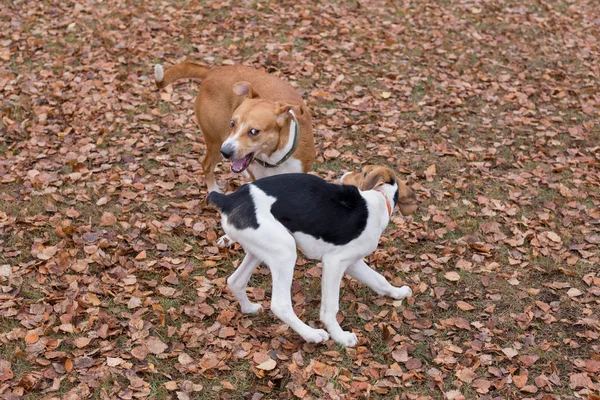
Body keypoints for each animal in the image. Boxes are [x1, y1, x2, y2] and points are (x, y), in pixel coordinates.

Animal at [154, 61, 314, 193]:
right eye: (232, 123)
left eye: (254, 131)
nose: (225, 152)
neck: (273, 161)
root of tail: (213, 70)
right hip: (215, 141)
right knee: (206, 164)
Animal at [206, 164, 418, 346]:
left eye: (360, 171)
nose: (343, 174)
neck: (380, 201)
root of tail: (229, 199)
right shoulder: (334, 262)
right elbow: (331, 307)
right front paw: (340, 336)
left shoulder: (352, 262)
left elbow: (380, 280)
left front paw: (398, 292)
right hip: (285, 252)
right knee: (280, 304)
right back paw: (312, 334)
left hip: (260, 251)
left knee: (236, 281)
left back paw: (249, 308)